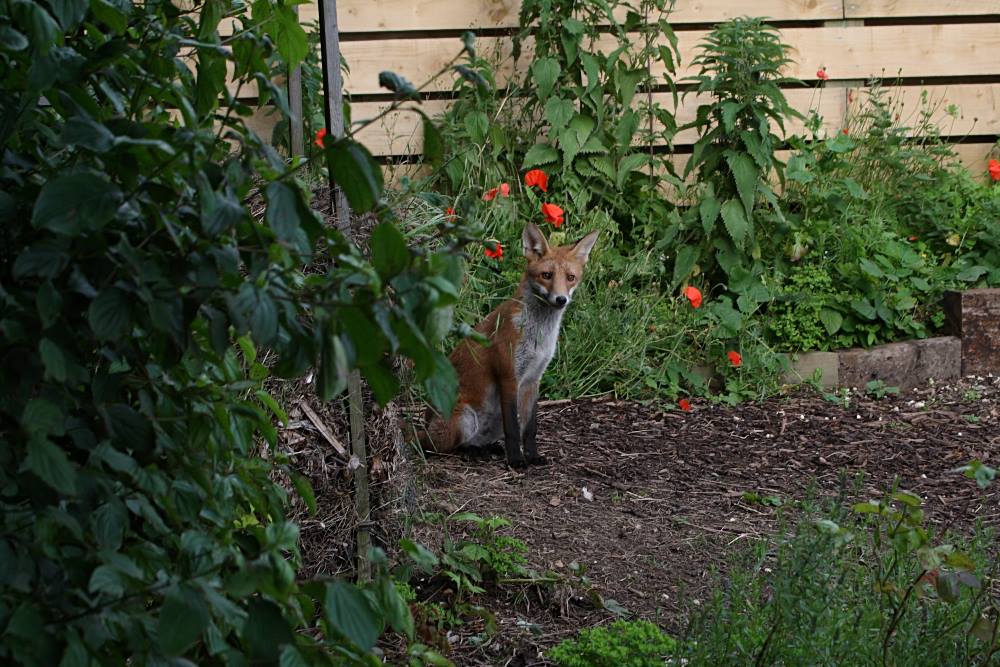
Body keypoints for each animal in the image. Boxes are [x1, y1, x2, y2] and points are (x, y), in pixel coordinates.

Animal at [421, 223, 599, 468]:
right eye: (546, 275)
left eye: (571, 277)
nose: (561, 299)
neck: (538, 336)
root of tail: (423, 428)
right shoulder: (508, 376)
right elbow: (514, 429)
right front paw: (516, 460)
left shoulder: (533, 379)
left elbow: (530, 429)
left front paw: (533, 456)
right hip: (465, 418)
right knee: (442, 448)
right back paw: (471, 452)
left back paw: (486, 448)